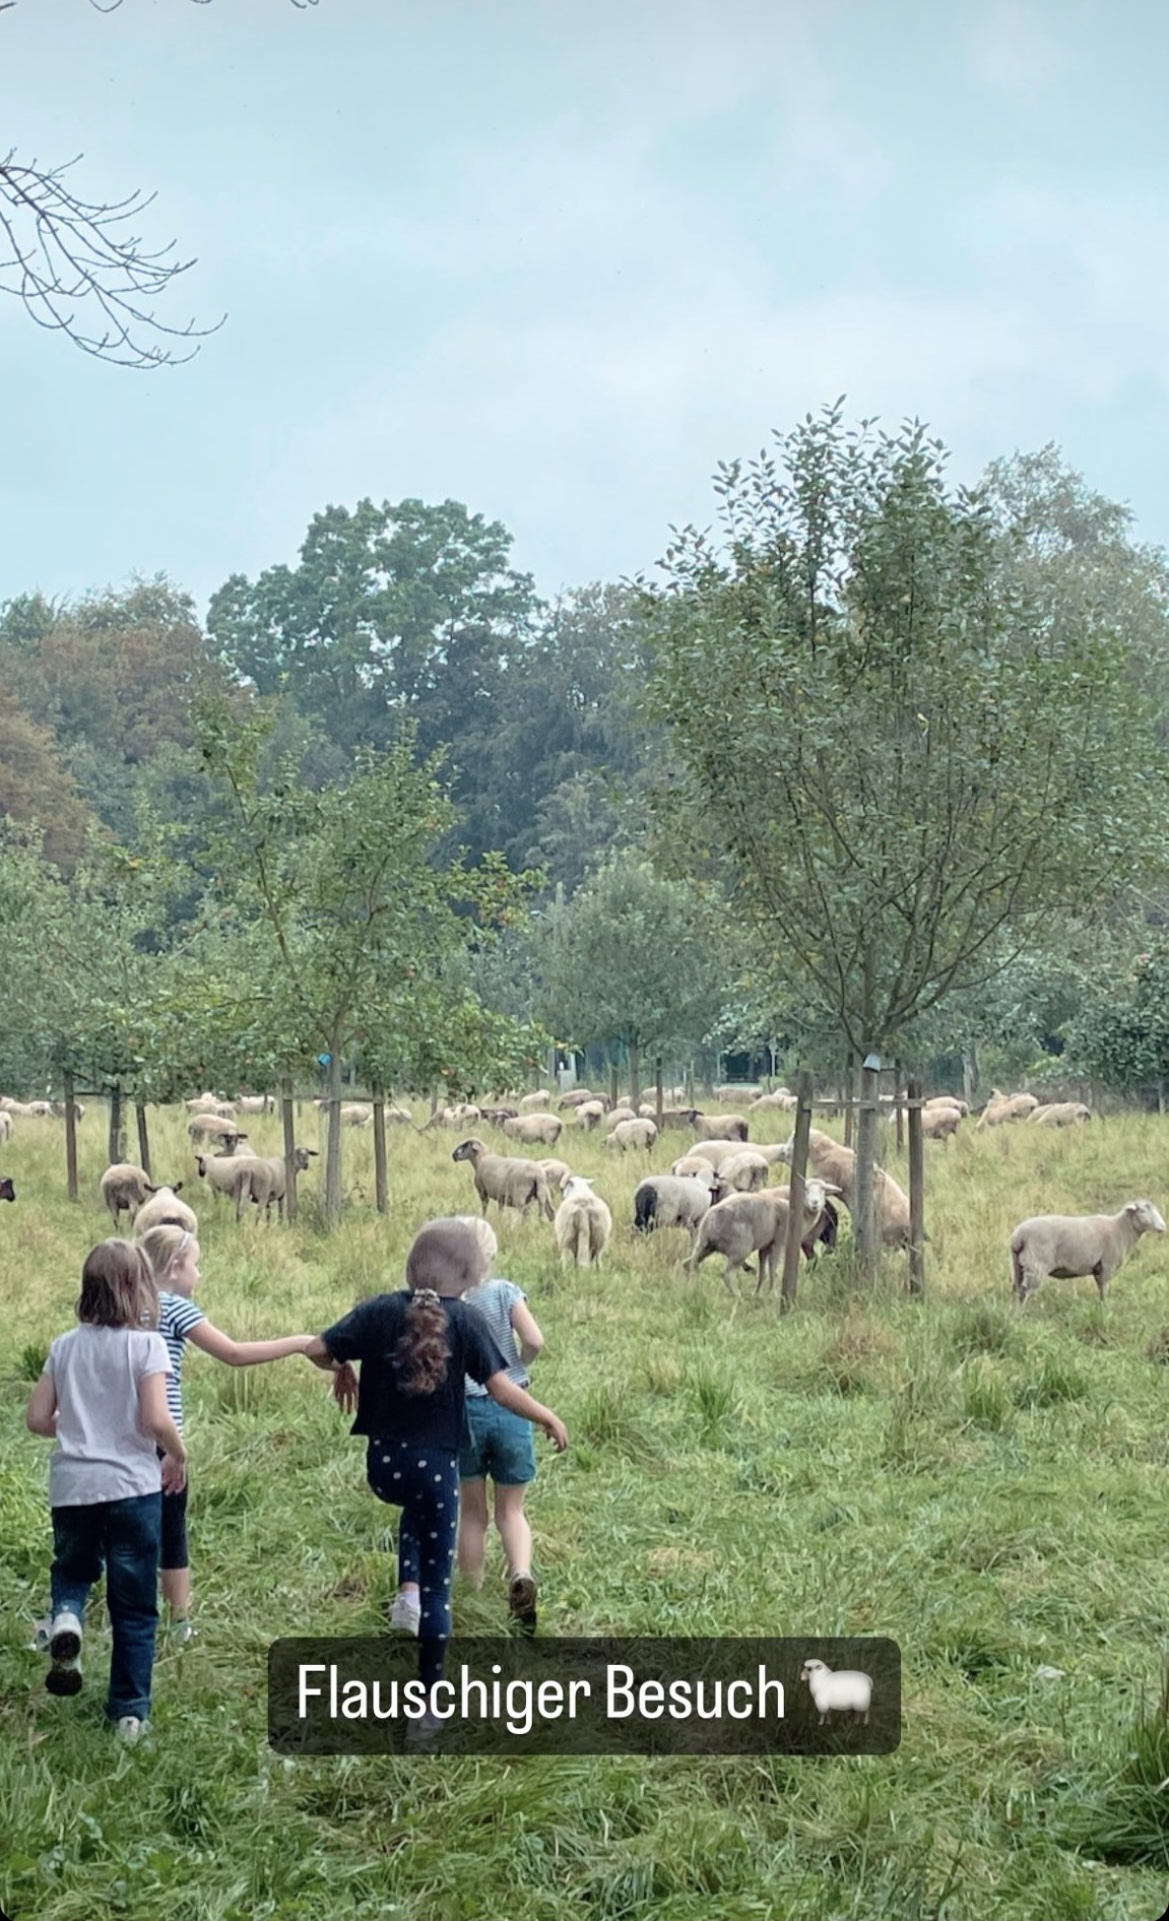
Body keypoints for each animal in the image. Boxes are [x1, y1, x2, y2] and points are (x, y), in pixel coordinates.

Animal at [683, 1175, 836, 1298]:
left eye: (823, 1190)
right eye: (806, 1190)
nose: (815, 1203)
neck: (800, 1215)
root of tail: (710, 1219)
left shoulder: (765, 1246)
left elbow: (763, 1272)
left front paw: (757, 1294)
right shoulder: (778, 1243)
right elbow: (773, 1270)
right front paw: (772, 1294)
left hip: (707, 1246)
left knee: (689, 1264)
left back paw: (692, 1288)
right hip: (740, 1247)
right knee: (726, 1274)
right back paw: (738, 1296)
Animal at [1005, 1198, 1159, 1306]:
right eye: (1142, 1211)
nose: (1162, 1227)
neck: (1121, 1229)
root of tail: (1018, 1236)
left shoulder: (1098, 1268)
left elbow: (1101, 1289)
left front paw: (1101, 1306)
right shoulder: (1107, 1265)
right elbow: (1105, 1289)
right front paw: (1105, 1309)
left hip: (1017, 1264)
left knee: (1016, 1289)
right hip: (1036, 1263)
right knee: (1025, 1291)